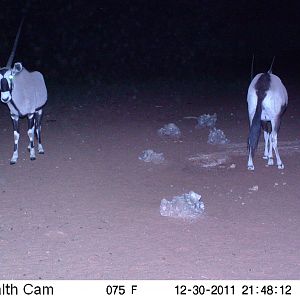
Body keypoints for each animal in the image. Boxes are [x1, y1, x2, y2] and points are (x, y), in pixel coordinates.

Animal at [0, 18, 47, 164]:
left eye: (10, 76)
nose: (5, 98)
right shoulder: (14, 116)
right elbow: (16, 135)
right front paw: (14, 157)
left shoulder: (31, 113)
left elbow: (30, 132)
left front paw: (32, 154)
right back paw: (29, 146)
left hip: (39, 110)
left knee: (38, 127)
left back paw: (39, 148)